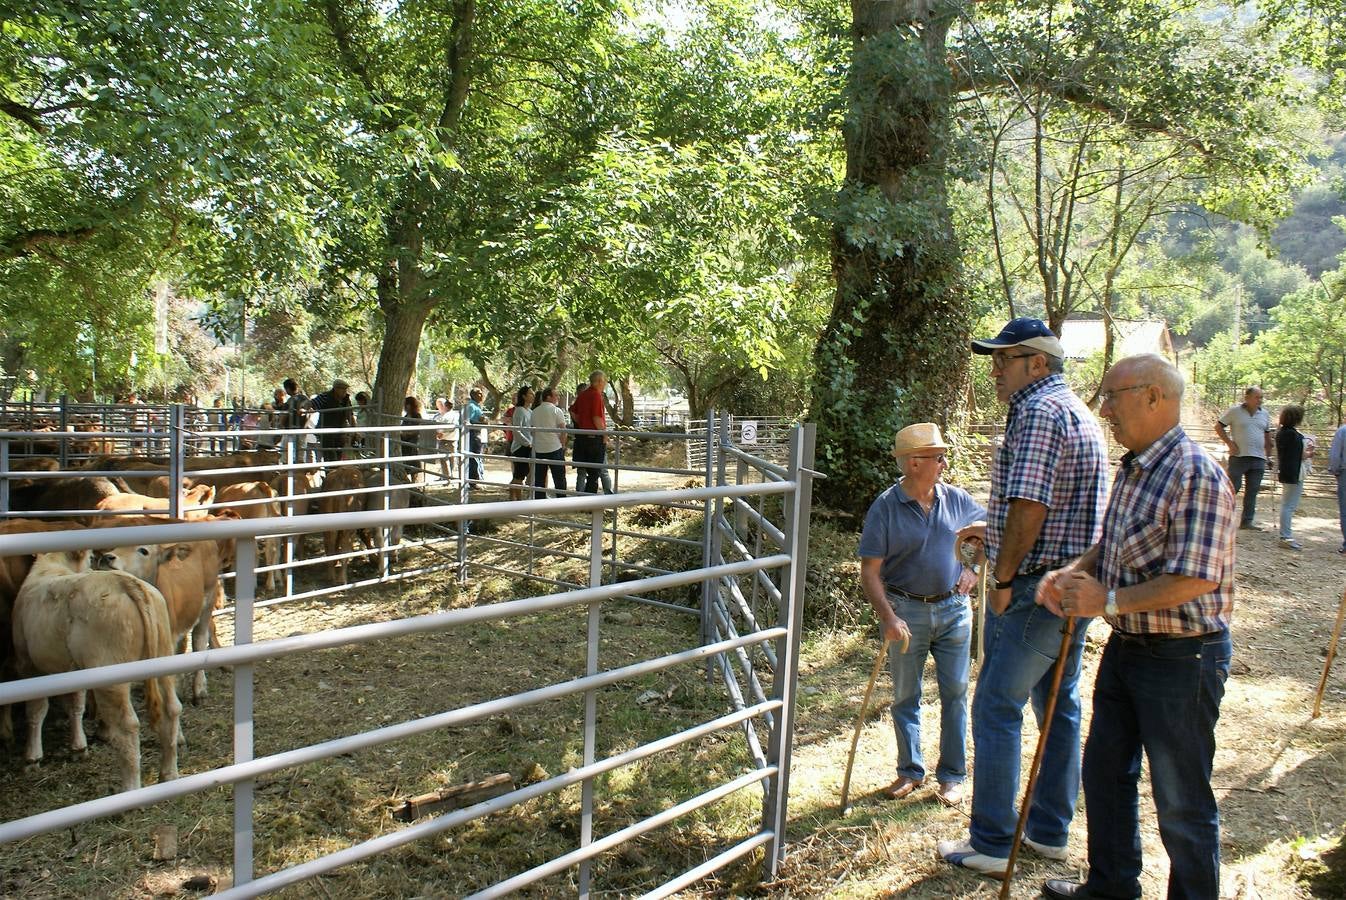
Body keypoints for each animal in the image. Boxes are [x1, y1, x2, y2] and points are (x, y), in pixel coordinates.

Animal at [12, 548, 181, 791]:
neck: (51, 566)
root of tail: (125, 583)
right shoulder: (73, 670)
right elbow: (75, 704)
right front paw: (78, 747)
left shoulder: (27, 664)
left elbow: (36, 710)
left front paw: (32, 758)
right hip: (163, 656)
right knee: (172, 709)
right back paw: (169, 774)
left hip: (110, 676)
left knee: (127, 726)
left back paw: (130, 788)